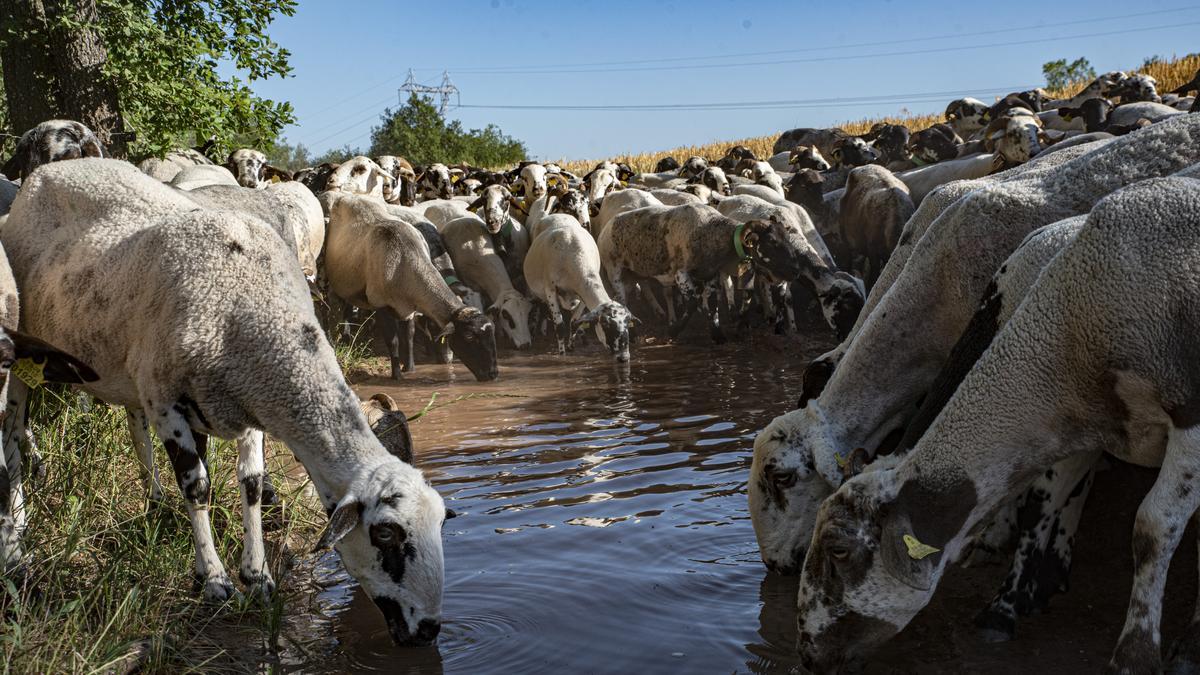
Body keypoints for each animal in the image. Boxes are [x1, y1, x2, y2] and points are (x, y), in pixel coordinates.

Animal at [321, 190, 499, 379]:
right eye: (469, 337)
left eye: (492, 334)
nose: (493, 374)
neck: (405, 261)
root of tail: (342, 193)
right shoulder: (381, 303)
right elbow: (393, 341)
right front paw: (397, 376)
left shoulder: (409, 306)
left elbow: (409, 337)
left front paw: (410, 368)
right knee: (328, 309)